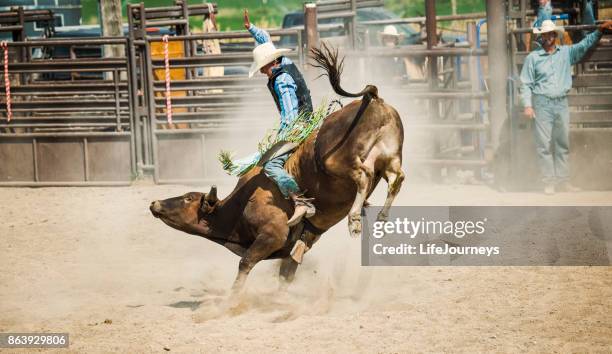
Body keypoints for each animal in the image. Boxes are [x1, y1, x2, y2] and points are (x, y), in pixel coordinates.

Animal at [150, 45, 404, 292]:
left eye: (188, 198)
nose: (155, 203)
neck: (241, 205)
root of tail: (374, 99)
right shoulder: (299, 245)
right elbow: (286, 275)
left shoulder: (272, 234)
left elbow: (245, 263)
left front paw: (233, 299)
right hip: (390, 157)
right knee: (396, 178)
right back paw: (381, 217)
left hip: (337, 162)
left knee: (364, 176)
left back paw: (354, 220)